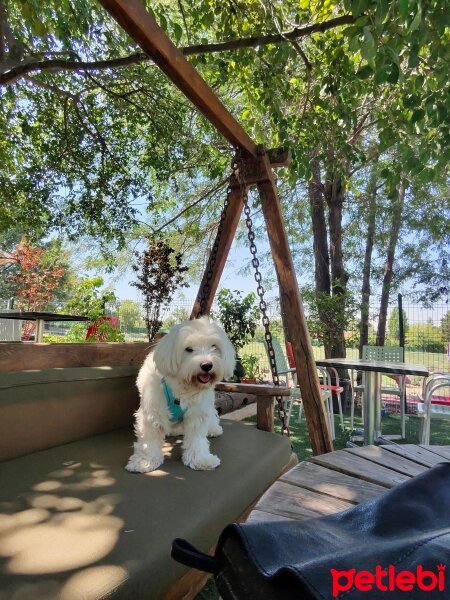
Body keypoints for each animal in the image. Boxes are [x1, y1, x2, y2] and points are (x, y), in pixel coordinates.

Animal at [124, 318, 234, 474]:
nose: (207, 365)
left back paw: (213, 429)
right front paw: (145, 461)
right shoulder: (153, 411)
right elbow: (149, 438)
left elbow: (197, 439)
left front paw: (200, 460)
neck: (183, 388)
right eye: (188, 349)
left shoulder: (197, 413)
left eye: (214, 347)